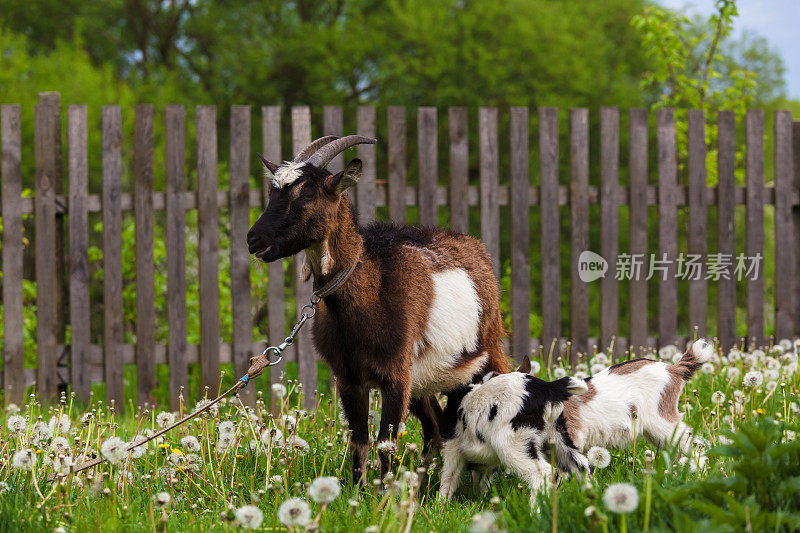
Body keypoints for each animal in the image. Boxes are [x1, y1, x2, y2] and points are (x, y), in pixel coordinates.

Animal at [245, 136, 506, 482]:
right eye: (271, 193)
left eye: (307, 194)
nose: (254, 239)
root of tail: (474, 245)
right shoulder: (348, 377)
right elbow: (359, 440)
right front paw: (359, 490)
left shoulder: (396, 374)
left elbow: (385, 442)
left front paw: (384, 493)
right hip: (424, 379)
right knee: (435, 426)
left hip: (486, 352)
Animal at [434, 370, 592, 502]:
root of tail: (548, 387)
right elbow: (483, 479)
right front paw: (480, 498)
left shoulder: (452, 445)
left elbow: (449, 477)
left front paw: (440, 507)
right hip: (557, 438)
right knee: (582, 465)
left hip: (513, 442)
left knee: (545, 473)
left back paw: (536, 512)